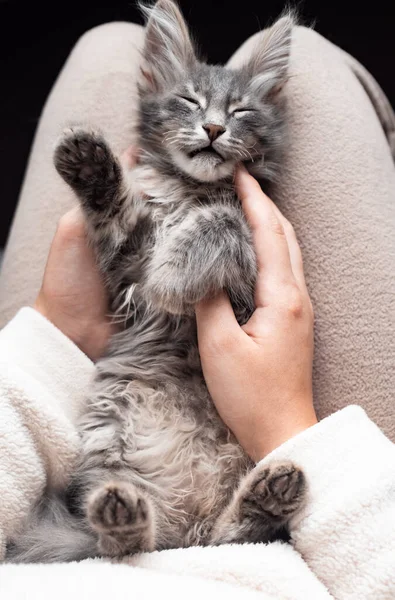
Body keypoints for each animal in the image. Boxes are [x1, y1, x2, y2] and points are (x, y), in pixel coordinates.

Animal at [8, 0, 306, 564]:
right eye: (189, 101)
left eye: (241, 112)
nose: (212, 128)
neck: (189, 192)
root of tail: (186, 527)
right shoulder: (126, 260)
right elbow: (120, 212)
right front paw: (89, 162)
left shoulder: (248, 272)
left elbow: (221, 224)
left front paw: (174, 272)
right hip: (112, 446)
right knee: (127, 545)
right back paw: (122, 514)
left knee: (239, 538)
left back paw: (268, 495)